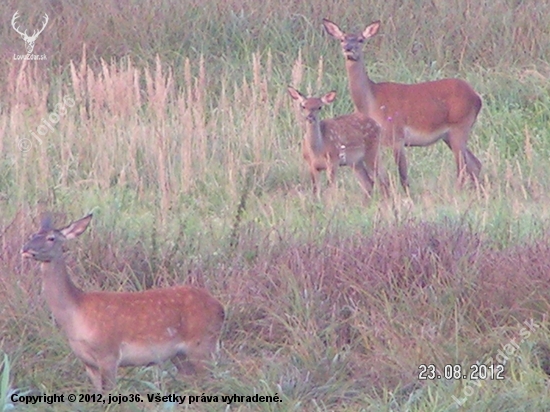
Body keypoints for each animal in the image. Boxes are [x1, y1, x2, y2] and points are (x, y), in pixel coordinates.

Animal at [20, 214, 224, 392]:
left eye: (51, 238)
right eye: (32, 235)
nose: (25, 249)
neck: (75, 315)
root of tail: (221, 308)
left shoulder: (109, 353)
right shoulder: (87, 362)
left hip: (203, 345)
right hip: (181, 356)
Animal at [324, 18, 484, 190]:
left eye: (361, 39)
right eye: (342, 39)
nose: (348, 48)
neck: (371, 102)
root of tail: (477, 97)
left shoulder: (396, 135)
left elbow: (403, 176)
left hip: (459, 127)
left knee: (463, 168)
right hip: (449, 135)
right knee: (475, 165)